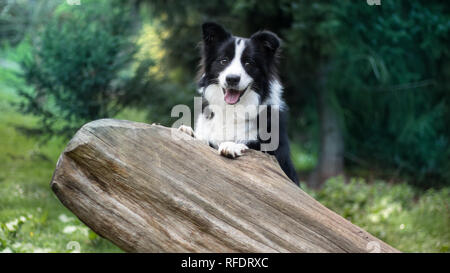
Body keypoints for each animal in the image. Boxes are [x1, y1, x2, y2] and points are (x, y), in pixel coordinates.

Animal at [179, 22, 298, 185]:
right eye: (224, 60)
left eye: (248, 63)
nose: (232, 79)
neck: (232, 109)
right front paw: (188, 132)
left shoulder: (274, 154)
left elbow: (250, 145)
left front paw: (231, 145)